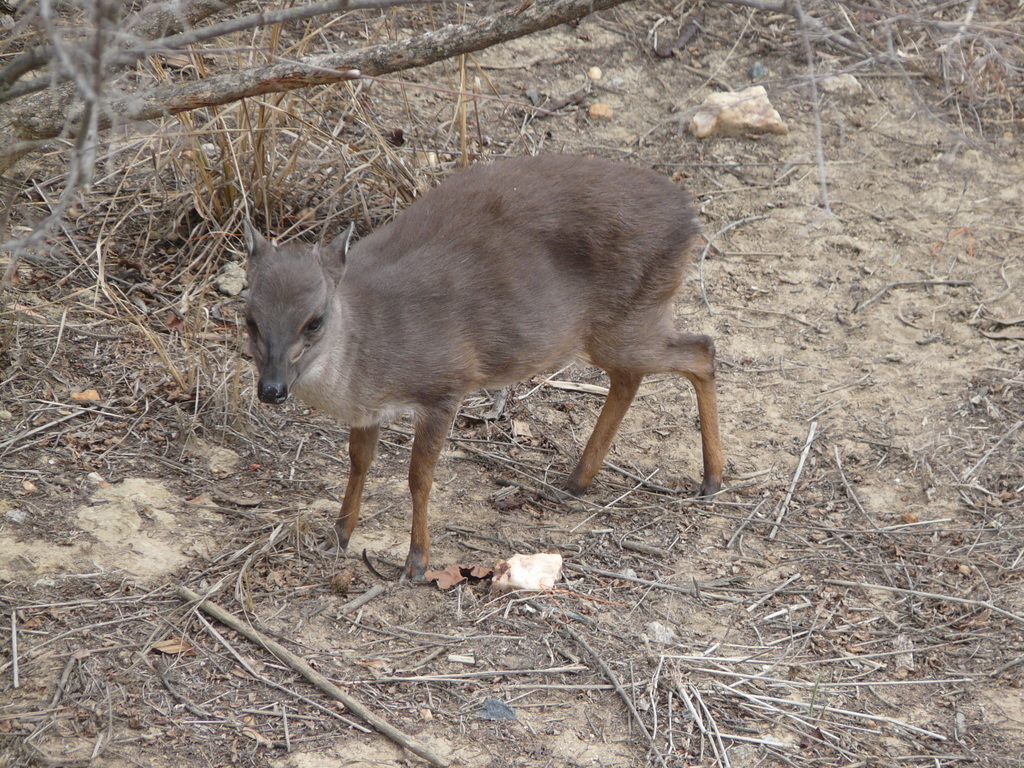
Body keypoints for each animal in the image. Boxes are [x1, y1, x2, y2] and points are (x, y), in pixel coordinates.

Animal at [243, 153, 724, 581]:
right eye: (249, 318)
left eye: (314, 321)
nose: (272, 390)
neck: (369, 341)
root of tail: (689, 214)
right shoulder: (368, 410)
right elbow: (359, 463)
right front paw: (338, 535)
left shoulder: (445, 384)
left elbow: (419, 477)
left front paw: (416, 563)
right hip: (620, 327)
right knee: (634, 374)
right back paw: (577, 480)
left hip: (628, 318)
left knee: (702, 350)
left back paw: (712, 479)